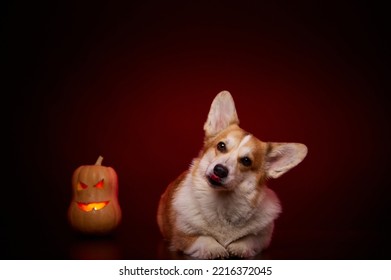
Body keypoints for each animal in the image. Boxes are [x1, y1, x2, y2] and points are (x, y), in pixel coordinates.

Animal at [158, 91, 308, 260]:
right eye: (221, 146)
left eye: (246, 161)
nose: (220, 170)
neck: (222, 204)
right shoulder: (182, 236)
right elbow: (203, 238)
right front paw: (215, 248)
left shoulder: (263, 238)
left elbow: (250, 239)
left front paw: (239, 247)